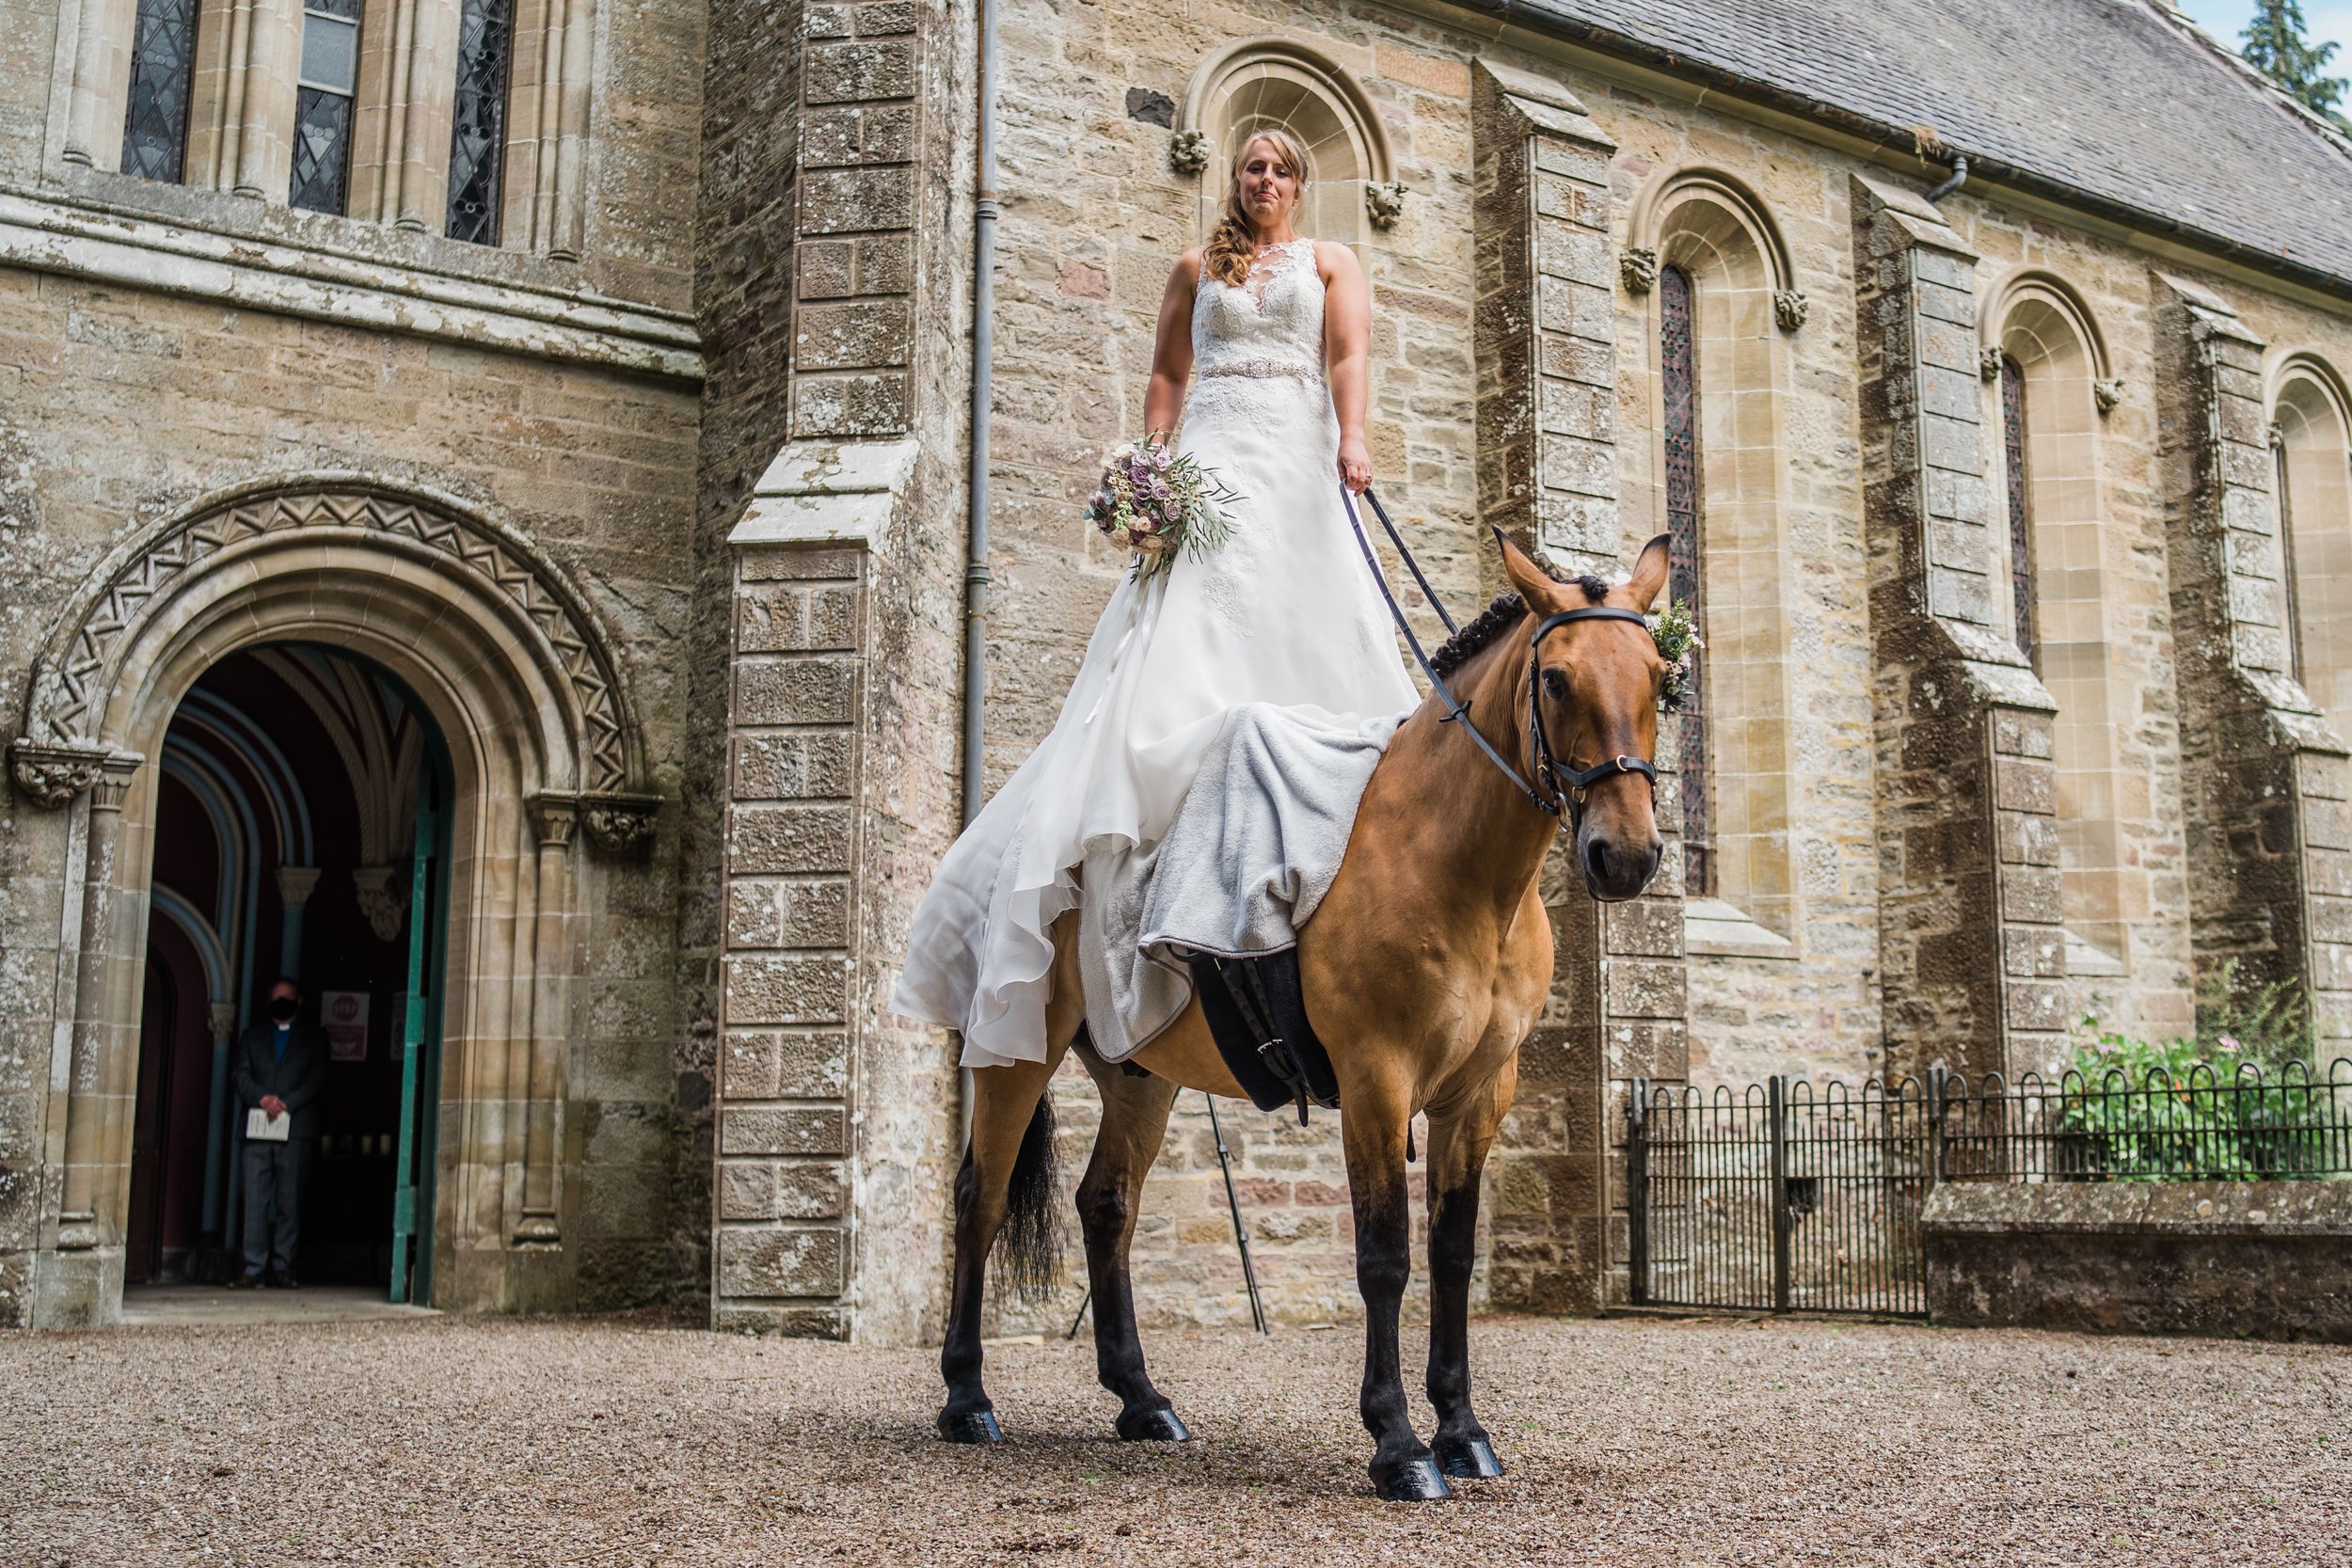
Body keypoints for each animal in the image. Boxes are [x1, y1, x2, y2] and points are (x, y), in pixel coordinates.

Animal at [936, 533, 1675, 1504]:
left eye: (1661, 676)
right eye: (1555, 679)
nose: (1625, 856)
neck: (1455, 869)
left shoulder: (1481, 1093)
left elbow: (1450, 1254)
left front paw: (1463, 1430)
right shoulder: (1376, 1080)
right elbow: (1385, 1257)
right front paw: (1398, 1443)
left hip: (1140, 1076)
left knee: (1107, 1204)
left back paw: (1141, 1399)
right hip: (1015, 1055)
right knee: (979, 1200)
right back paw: (966, 1397)